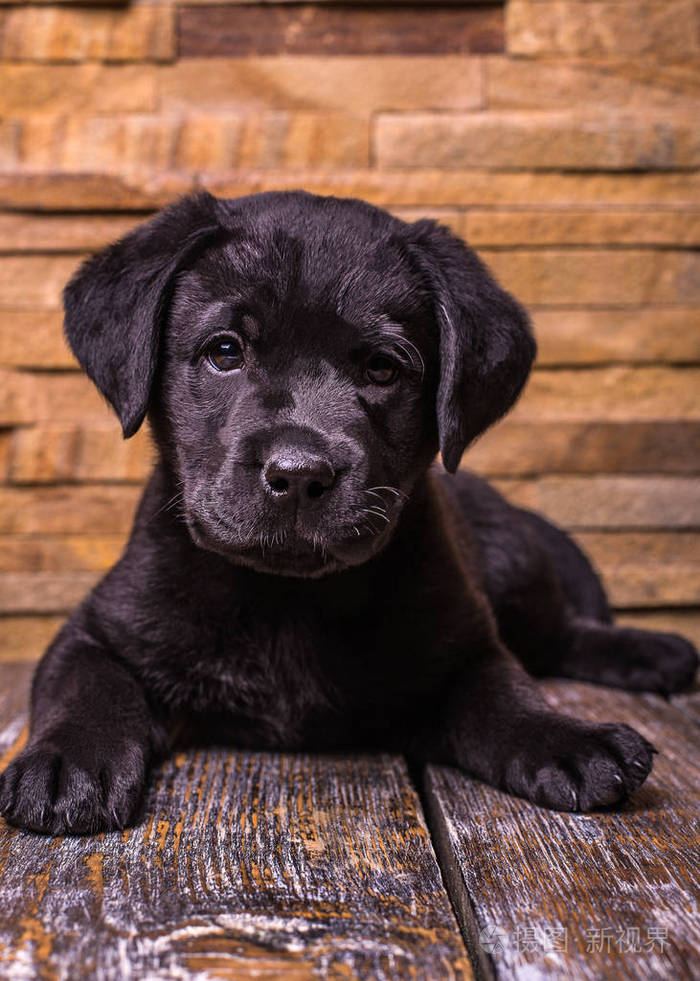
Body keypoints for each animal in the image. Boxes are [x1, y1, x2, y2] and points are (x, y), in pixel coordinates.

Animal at [0, 193, 696, 836]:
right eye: (224, 352)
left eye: (383, 367)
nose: (299, 473)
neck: (287, 601)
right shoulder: (97, 626)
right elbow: (87, 684)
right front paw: (66, 763)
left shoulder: (463, 644)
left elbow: (507, 692)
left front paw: (566, 736)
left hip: (517, 566)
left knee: (562, 636)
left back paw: (654, 652)